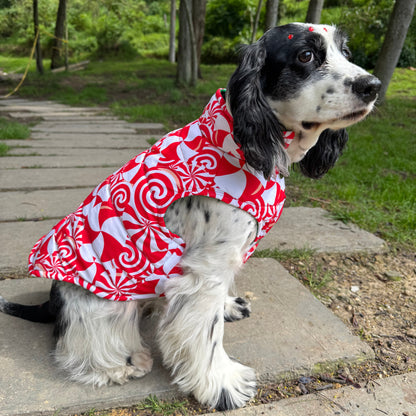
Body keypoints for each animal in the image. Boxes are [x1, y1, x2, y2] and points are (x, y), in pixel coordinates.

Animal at [0, 24, 378, 412]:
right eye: (305, 55)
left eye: (345, 52)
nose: (373, 85)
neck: (241, 145)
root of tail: (52, 300)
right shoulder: (206, 269)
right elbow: (206, 334)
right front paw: (223, 385)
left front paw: (228, 307)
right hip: (104, 302)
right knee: (80, 342)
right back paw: (123, 363)